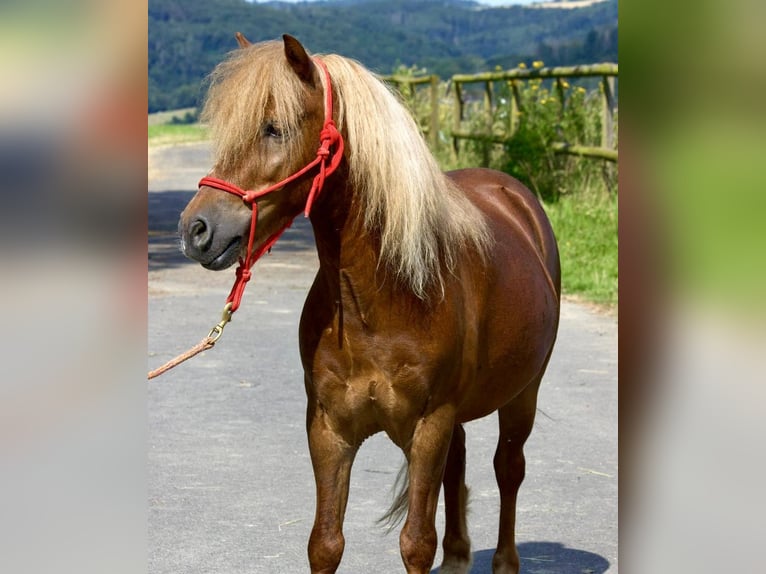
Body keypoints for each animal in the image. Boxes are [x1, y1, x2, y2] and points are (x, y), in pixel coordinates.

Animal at [180, 36, 564, 574]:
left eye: (274, 128)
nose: (196, 230)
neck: (380, 302)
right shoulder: (329, 430)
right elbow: (325, 542)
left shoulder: (428, 427)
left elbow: (416, 542)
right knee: (460, 464)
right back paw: (459, 556)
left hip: (523, 393)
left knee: (508, 468)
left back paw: (505, 561)